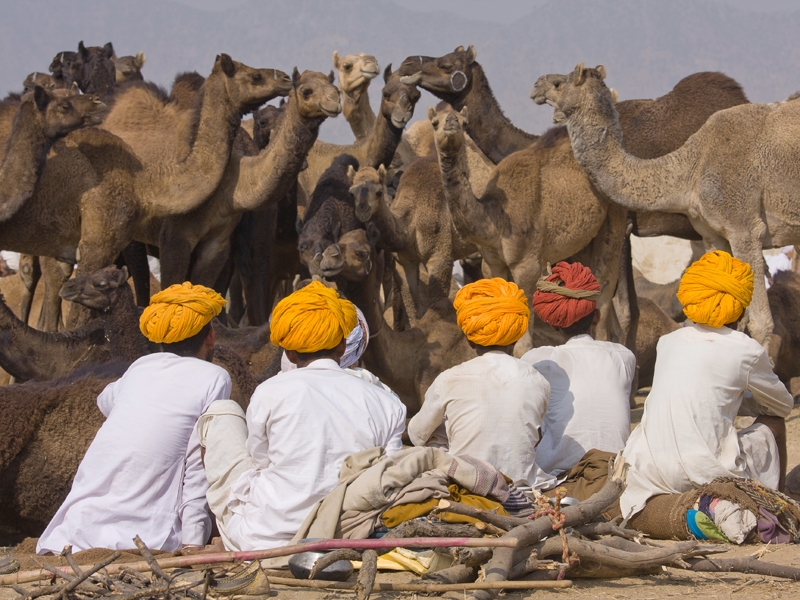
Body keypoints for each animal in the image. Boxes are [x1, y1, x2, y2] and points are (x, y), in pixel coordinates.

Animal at [552, 64, 800, 356]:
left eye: (559, 84)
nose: (536, 90)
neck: (692, 166)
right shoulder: (712, 235)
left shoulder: (745, 229)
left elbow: (760, 322)